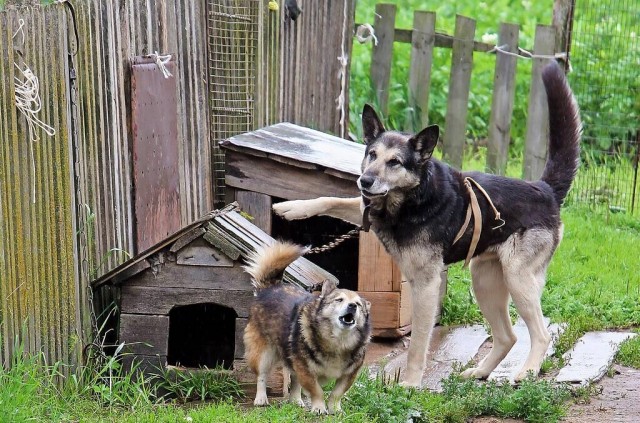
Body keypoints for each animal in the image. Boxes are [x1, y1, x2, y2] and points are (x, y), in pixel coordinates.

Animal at [241, 242, 370, 414]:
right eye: (339, 300)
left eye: (358, 304)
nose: (352, 306)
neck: (338, 341)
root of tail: (270, 288)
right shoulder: (306, 370)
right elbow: (317, 390)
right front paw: (319, 408)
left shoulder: (349, 374)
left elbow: (337, 393)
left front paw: (335, 409)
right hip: (264, 353)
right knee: (261, 376)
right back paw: (261, 399)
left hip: (293, 357)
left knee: (295, 379)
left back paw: (295, 400)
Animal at [272, 61, 584, 390]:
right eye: (372, 154)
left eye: (395, 162)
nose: (364, 181)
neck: (409, 201)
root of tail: (545, 190)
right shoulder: (365, 210)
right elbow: (329, 198)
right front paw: (291, 208)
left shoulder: (426, 285)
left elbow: (419, 342)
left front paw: (410, 383)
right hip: (484, 282)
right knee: (507, 336)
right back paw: (480, 371)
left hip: (518, 279)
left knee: (540, 334)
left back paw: (527, 371)